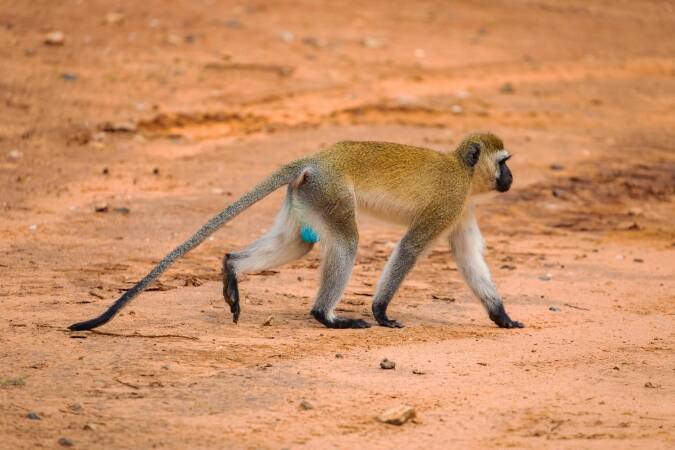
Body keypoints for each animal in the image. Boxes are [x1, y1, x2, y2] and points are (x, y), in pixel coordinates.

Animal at [69, 132, 523, 331]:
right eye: (503, 162)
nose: (510, 178)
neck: (462, 170)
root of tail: (319, 157)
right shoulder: (449, 201)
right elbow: (411, 247)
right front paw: (381, 311)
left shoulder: (461, 209)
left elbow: (468, 257)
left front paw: (500, 315)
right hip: (331, 191)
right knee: (347, 242)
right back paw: (326, 316)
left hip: (308, 194)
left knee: (293, 244)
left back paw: (232, 268)